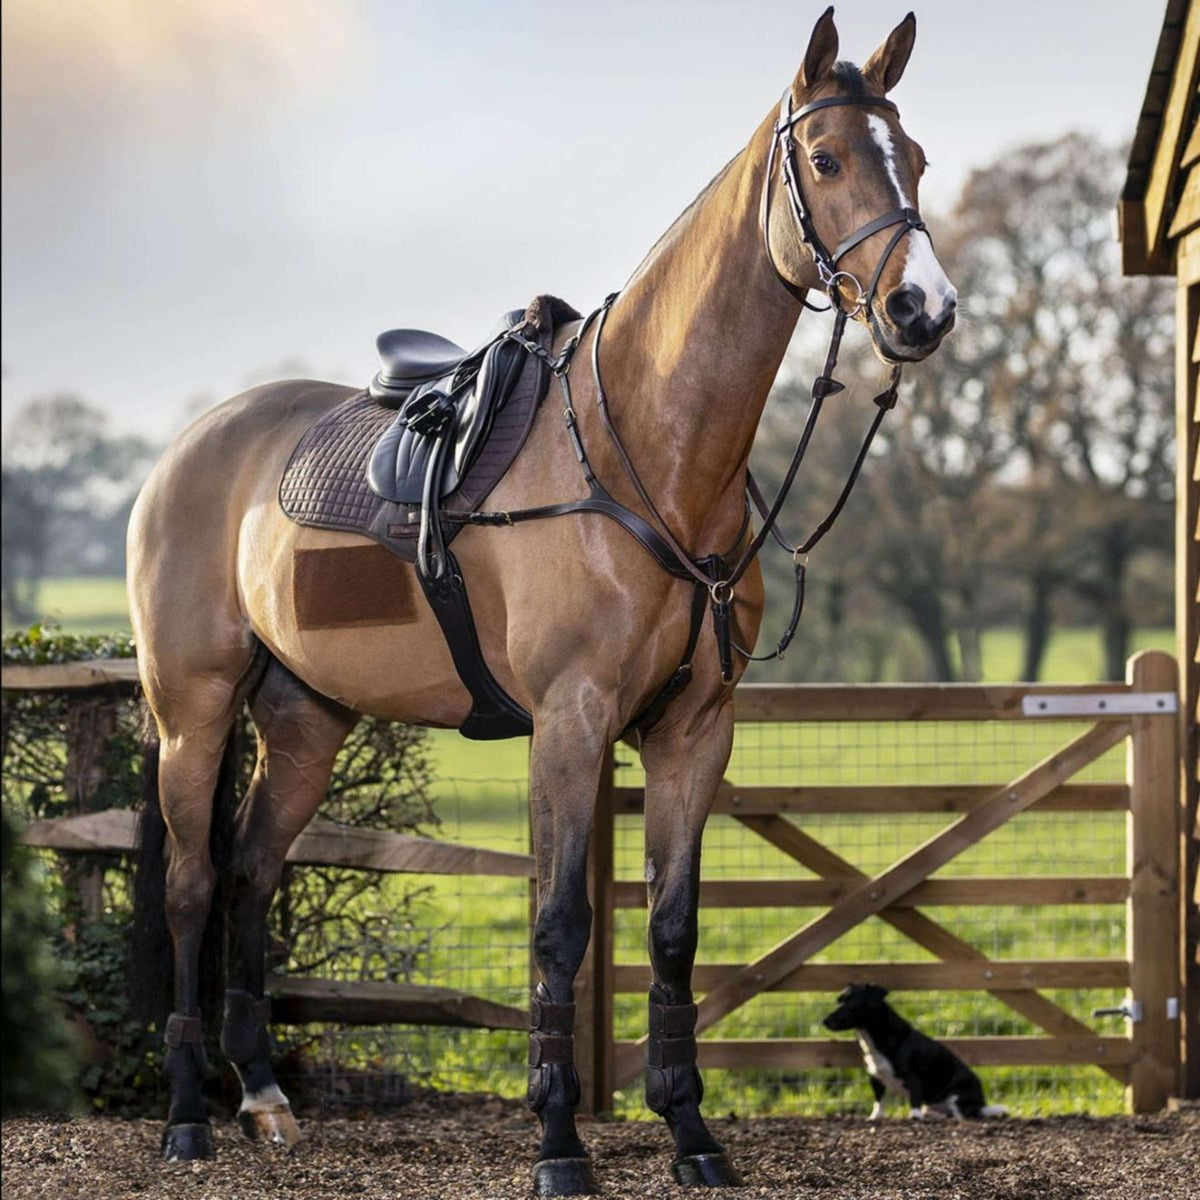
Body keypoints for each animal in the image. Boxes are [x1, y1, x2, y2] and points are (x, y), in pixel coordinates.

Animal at [129, 7, 955, 1190]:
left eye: (916, 159)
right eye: (829, 158)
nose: (922, 309)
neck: (648, 448)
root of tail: (187, 449)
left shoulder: (693, 731)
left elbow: (671, 931)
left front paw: (691, 1134)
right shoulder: (570, 720)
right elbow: (561, 926)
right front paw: (561, 1142)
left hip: (306, 720)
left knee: (252, 871)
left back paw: (266, 1099)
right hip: (191, 713)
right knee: (194, 885)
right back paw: (188, 1119)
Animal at [820, 979, 1008, 1118]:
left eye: (853, 1005)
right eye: (839, 1001)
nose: (825, 1021)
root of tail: (982, 1104)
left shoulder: (913, 1077)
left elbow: (914, 1100)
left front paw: (914, 1117)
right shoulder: (875, 1078)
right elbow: (879, 1102)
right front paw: (875, 1117)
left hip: (958, 1098)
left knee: (963, 1115)